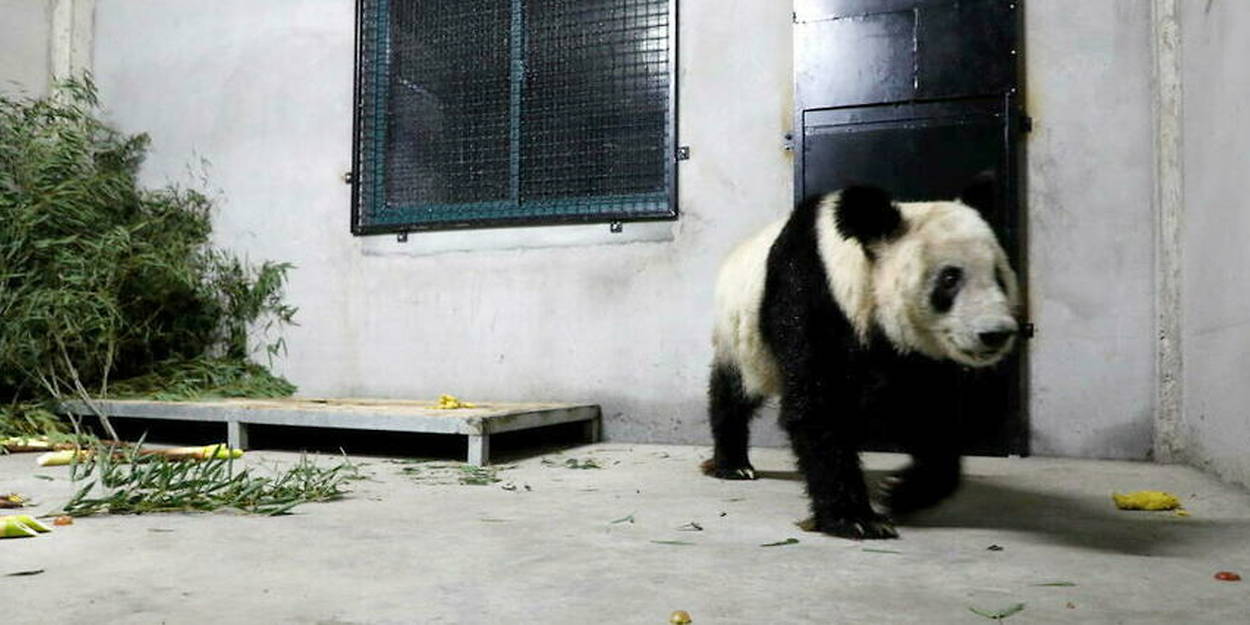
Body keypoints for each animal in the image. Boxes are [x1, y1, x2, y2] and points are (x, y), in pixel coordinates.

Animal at [705, 180, 1015, 537]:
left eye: (999, 275)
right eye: (950, 279)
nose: (996, 333)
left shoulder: (909, 352)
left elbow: (926, 407)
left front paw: (901, 491)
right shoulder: (809, 293)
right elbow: (818, 404)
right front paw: (855, 518)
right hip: (743, 337)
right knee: (734, 390)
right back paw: (733, 464)